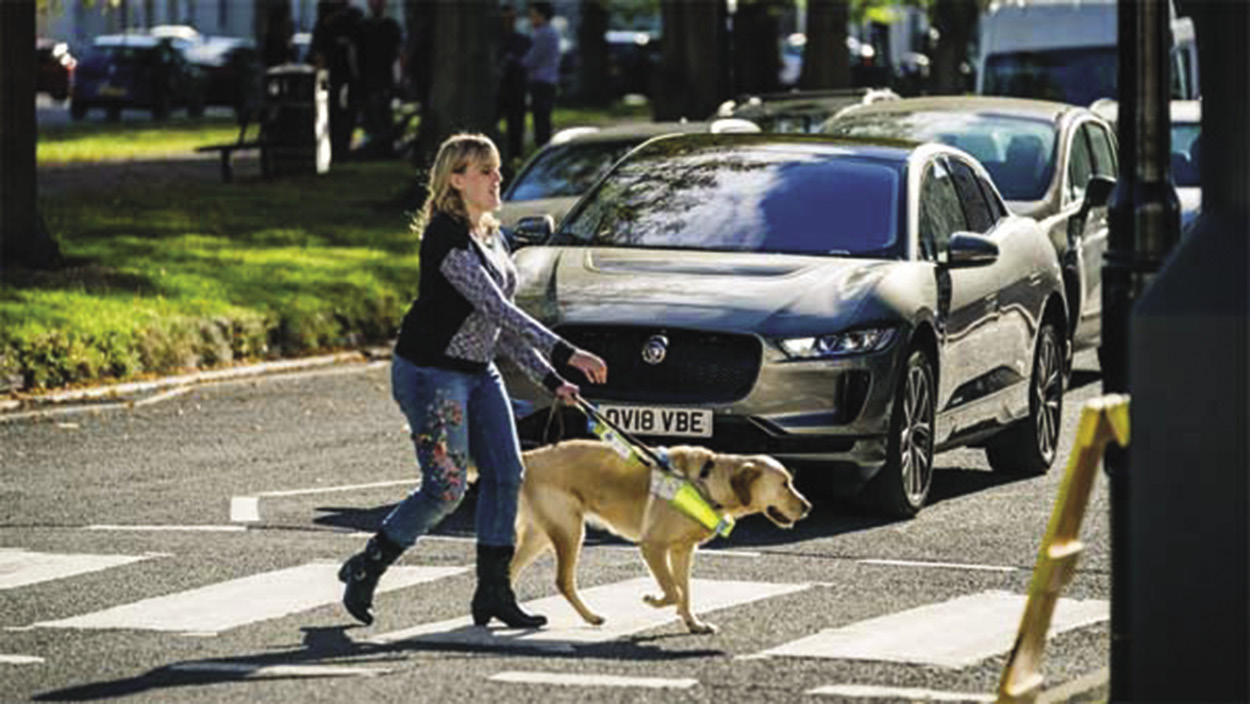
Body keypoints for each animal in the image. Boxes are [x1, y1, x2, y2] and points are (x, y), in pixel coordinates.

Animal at [507, 440, 810, 632]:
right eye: (785, 484)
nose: (808, 507)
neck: (707, 481)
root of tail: (529, 457)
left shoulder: (682, 551)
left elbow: (685, 591)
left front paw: (693, 623)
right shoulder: (652, 546)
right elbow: (674, 591)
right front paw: (654, 601)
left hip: (540, 536)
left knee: (509, 571)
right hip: (569, 530)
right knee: (562, 580)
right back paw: (591, 617)